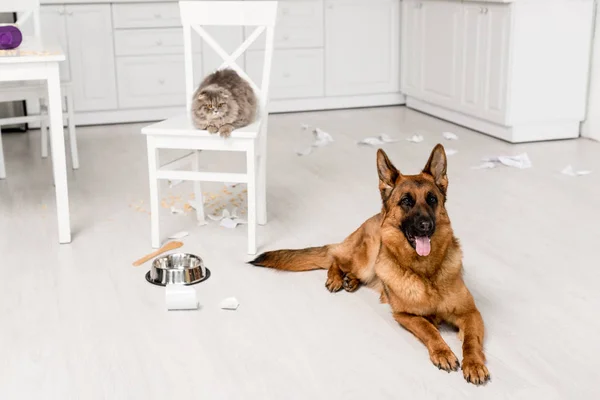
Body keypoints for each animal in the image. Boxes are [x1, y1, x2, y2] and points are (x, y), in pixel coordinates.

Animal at [251, 144, 490, 384]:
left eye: (432, 200)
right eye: (406, 201)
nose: (426, 225)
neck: (426, 272)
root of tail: (373, 218)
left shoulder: (471, 313)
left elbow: (470, 340)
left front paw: (474, 364)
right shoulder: (405, 315)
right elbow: (429, 329)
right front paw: (442, 352)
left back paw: (351, 281)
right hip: (367, 256)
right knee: (336, 258)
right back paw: (336, 278)